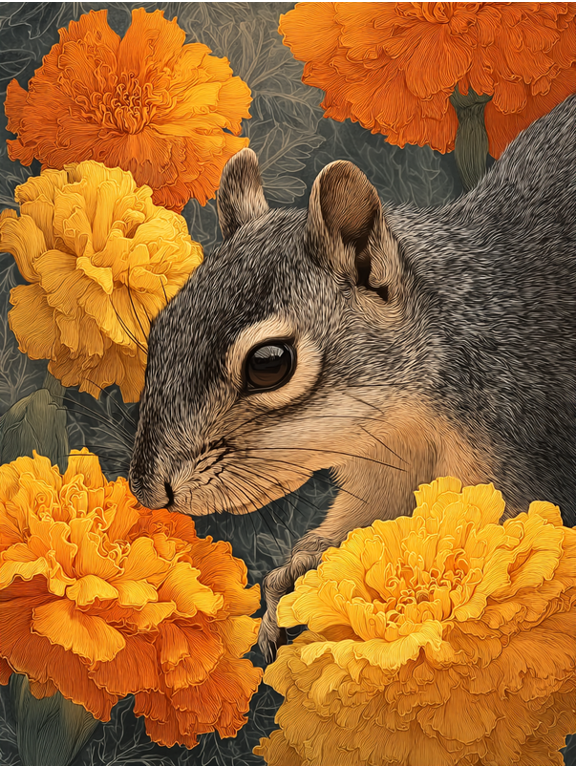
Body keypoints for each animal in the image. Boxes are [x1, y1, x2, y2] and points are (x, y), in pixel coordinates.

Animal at [129, 93, 576, 662]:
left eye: (269, 363)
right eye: (161, 327)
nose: (147, 490)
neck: (402, 425)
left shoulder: (521, 453)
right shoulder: (385, 472)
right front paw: (295, 573)